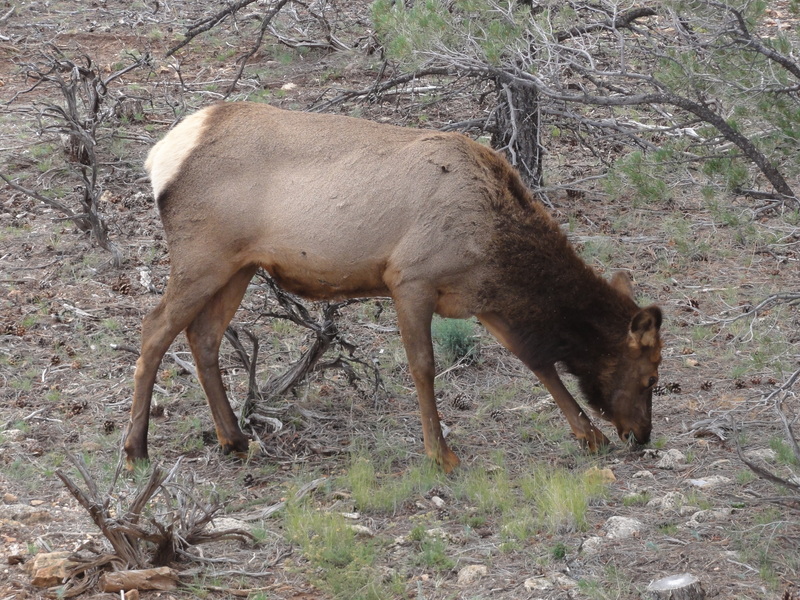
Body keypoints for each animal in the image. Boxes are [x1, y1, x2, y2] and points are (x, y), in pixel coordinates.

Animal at [126, 101, 664, 472]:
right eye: (651, 376)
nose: (642, 434)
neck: (497, 241)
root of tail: (159, 156)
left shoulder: (480, 297)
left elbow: (537, 360)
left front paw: (588, 436)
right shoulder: (411, 278)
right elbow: (424, 367)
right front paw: (440, 453)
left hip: (236, 267)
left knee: (203, 337)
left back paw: (234, 439)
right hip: (203, 257)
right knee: (153, 329)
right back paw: (136, 448)